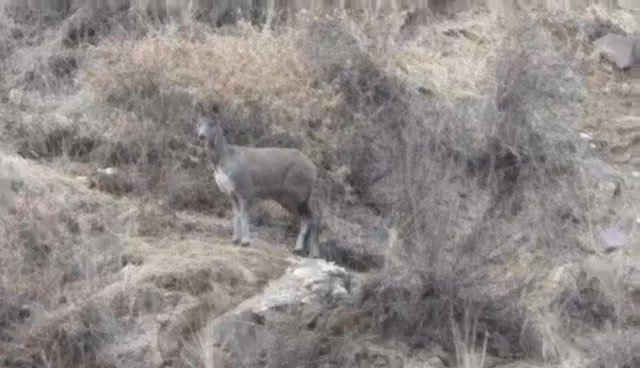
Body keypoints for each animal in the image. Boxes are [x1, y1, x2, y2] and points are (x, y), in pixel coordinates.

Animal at [196, 116, 320, 258]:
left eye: (211, 124)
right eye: (199, 124)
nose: (201, 136)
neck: (225, 159)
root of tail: (314, 168)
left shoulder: (246, 189)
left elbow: (244, 215)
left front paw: (245, 241)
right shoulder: (231, 194)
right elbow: (236, 215)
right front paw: (234, 240)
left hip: (296, 194)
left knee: (313, 217)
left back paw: (312, 252)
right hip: (291, 197)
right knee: (306, 218)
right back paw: (301, 250)